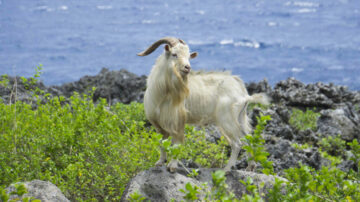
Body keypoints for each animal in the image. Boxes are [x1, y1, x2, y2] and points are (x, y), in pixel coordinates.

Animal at [138, 36, 270, 172]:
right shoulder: (158, 124)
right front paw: (160, 162)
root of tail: (244, 93)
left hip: (227, 120)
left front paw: (172, 166)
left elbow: (177, 143)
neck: (163, 93)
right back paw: (250, 166)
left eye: (188, 56)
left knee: (237, 143)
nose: (187, 67)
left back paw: (226, 169)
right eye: (174, 54)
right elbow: (162, 143)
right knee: (248, 139)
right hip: (240, 117)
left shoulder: (178, 121)